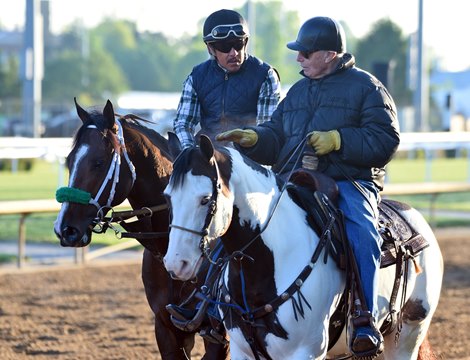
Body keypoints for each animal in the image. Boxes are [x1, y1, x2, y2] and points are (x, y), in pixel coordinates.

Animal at [162, 136, 444, 360]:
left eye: (205, 199)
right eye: (168, 197)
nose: (176, 263)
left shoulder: (306, 351)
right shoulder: (243, 350)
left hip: (409, 334)